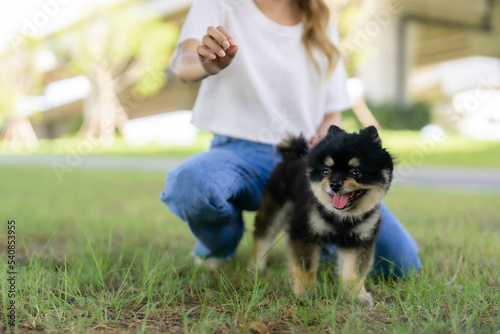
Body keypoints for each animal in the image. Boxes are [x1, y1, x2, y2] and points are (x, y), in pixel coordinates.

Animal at [252, 124, 392, 306]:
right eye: (326, 171)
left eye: (356, 172)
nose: (335, 184)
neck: (341, 217)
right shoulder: (304, 231)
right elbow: (306, 267)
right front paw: (305, 292)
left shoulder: (358, 240)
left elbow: (353, 272)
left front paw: (356, 295)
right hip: (274, 210)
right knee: (263, 237)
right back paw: (257, 267)